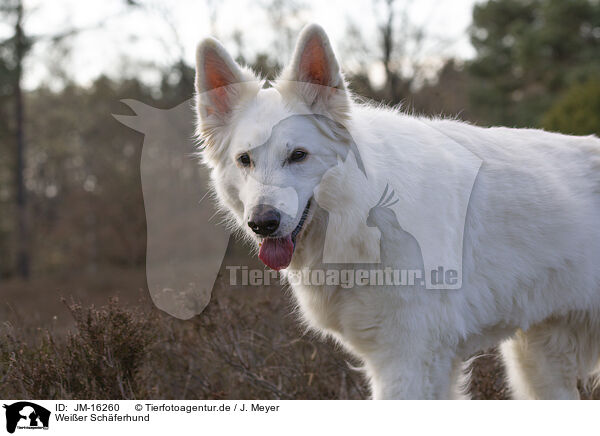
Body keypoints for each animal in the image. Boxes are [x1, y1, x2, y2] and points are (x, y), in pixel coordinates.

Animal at [193, 23, 600, 398]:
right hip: (538, 366)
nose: (262, 223)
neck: (362, 211)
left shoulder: (407, 359)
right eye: (245, 160)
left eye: (298, 156)